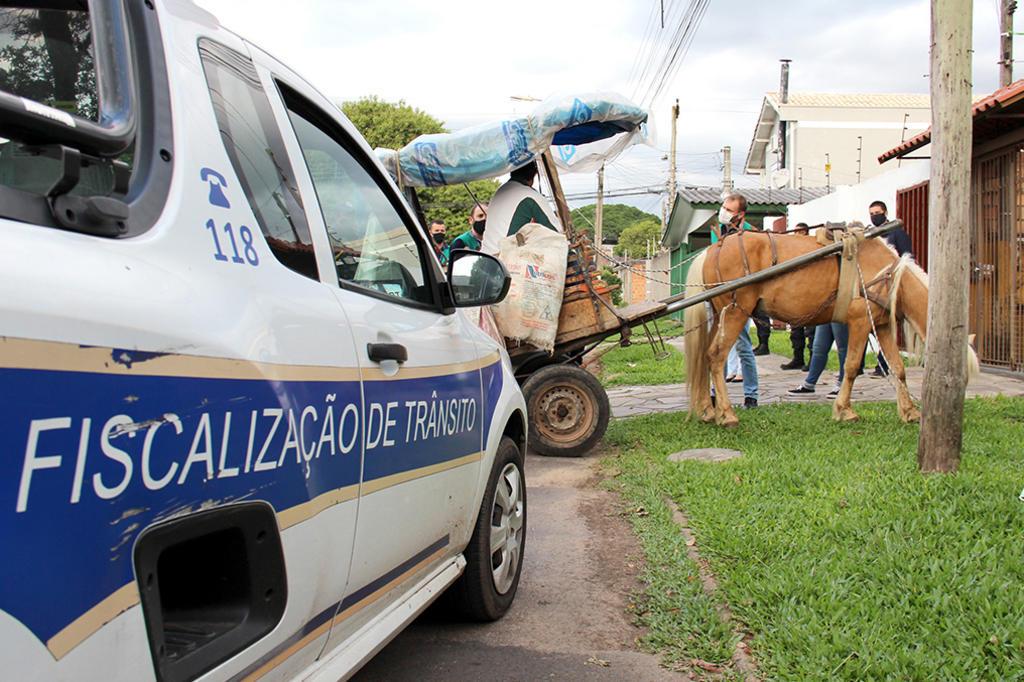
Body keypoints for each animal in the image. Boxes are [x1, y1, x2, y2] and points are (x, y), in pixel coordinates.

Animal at [684, 231, 978, 428]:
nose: (957, 409)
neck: (889, 275)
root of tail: (713, 249)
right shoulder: (860, 322)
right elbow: (851, 367)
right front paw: (844, 411)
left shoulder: (881, 325)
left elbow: (898, 368)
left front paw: (909, 411)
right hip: (735, 312)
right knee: (716, 357)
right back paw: (726, 414)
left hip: (720, 315)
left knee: (703, 357)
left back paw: (708, 410)